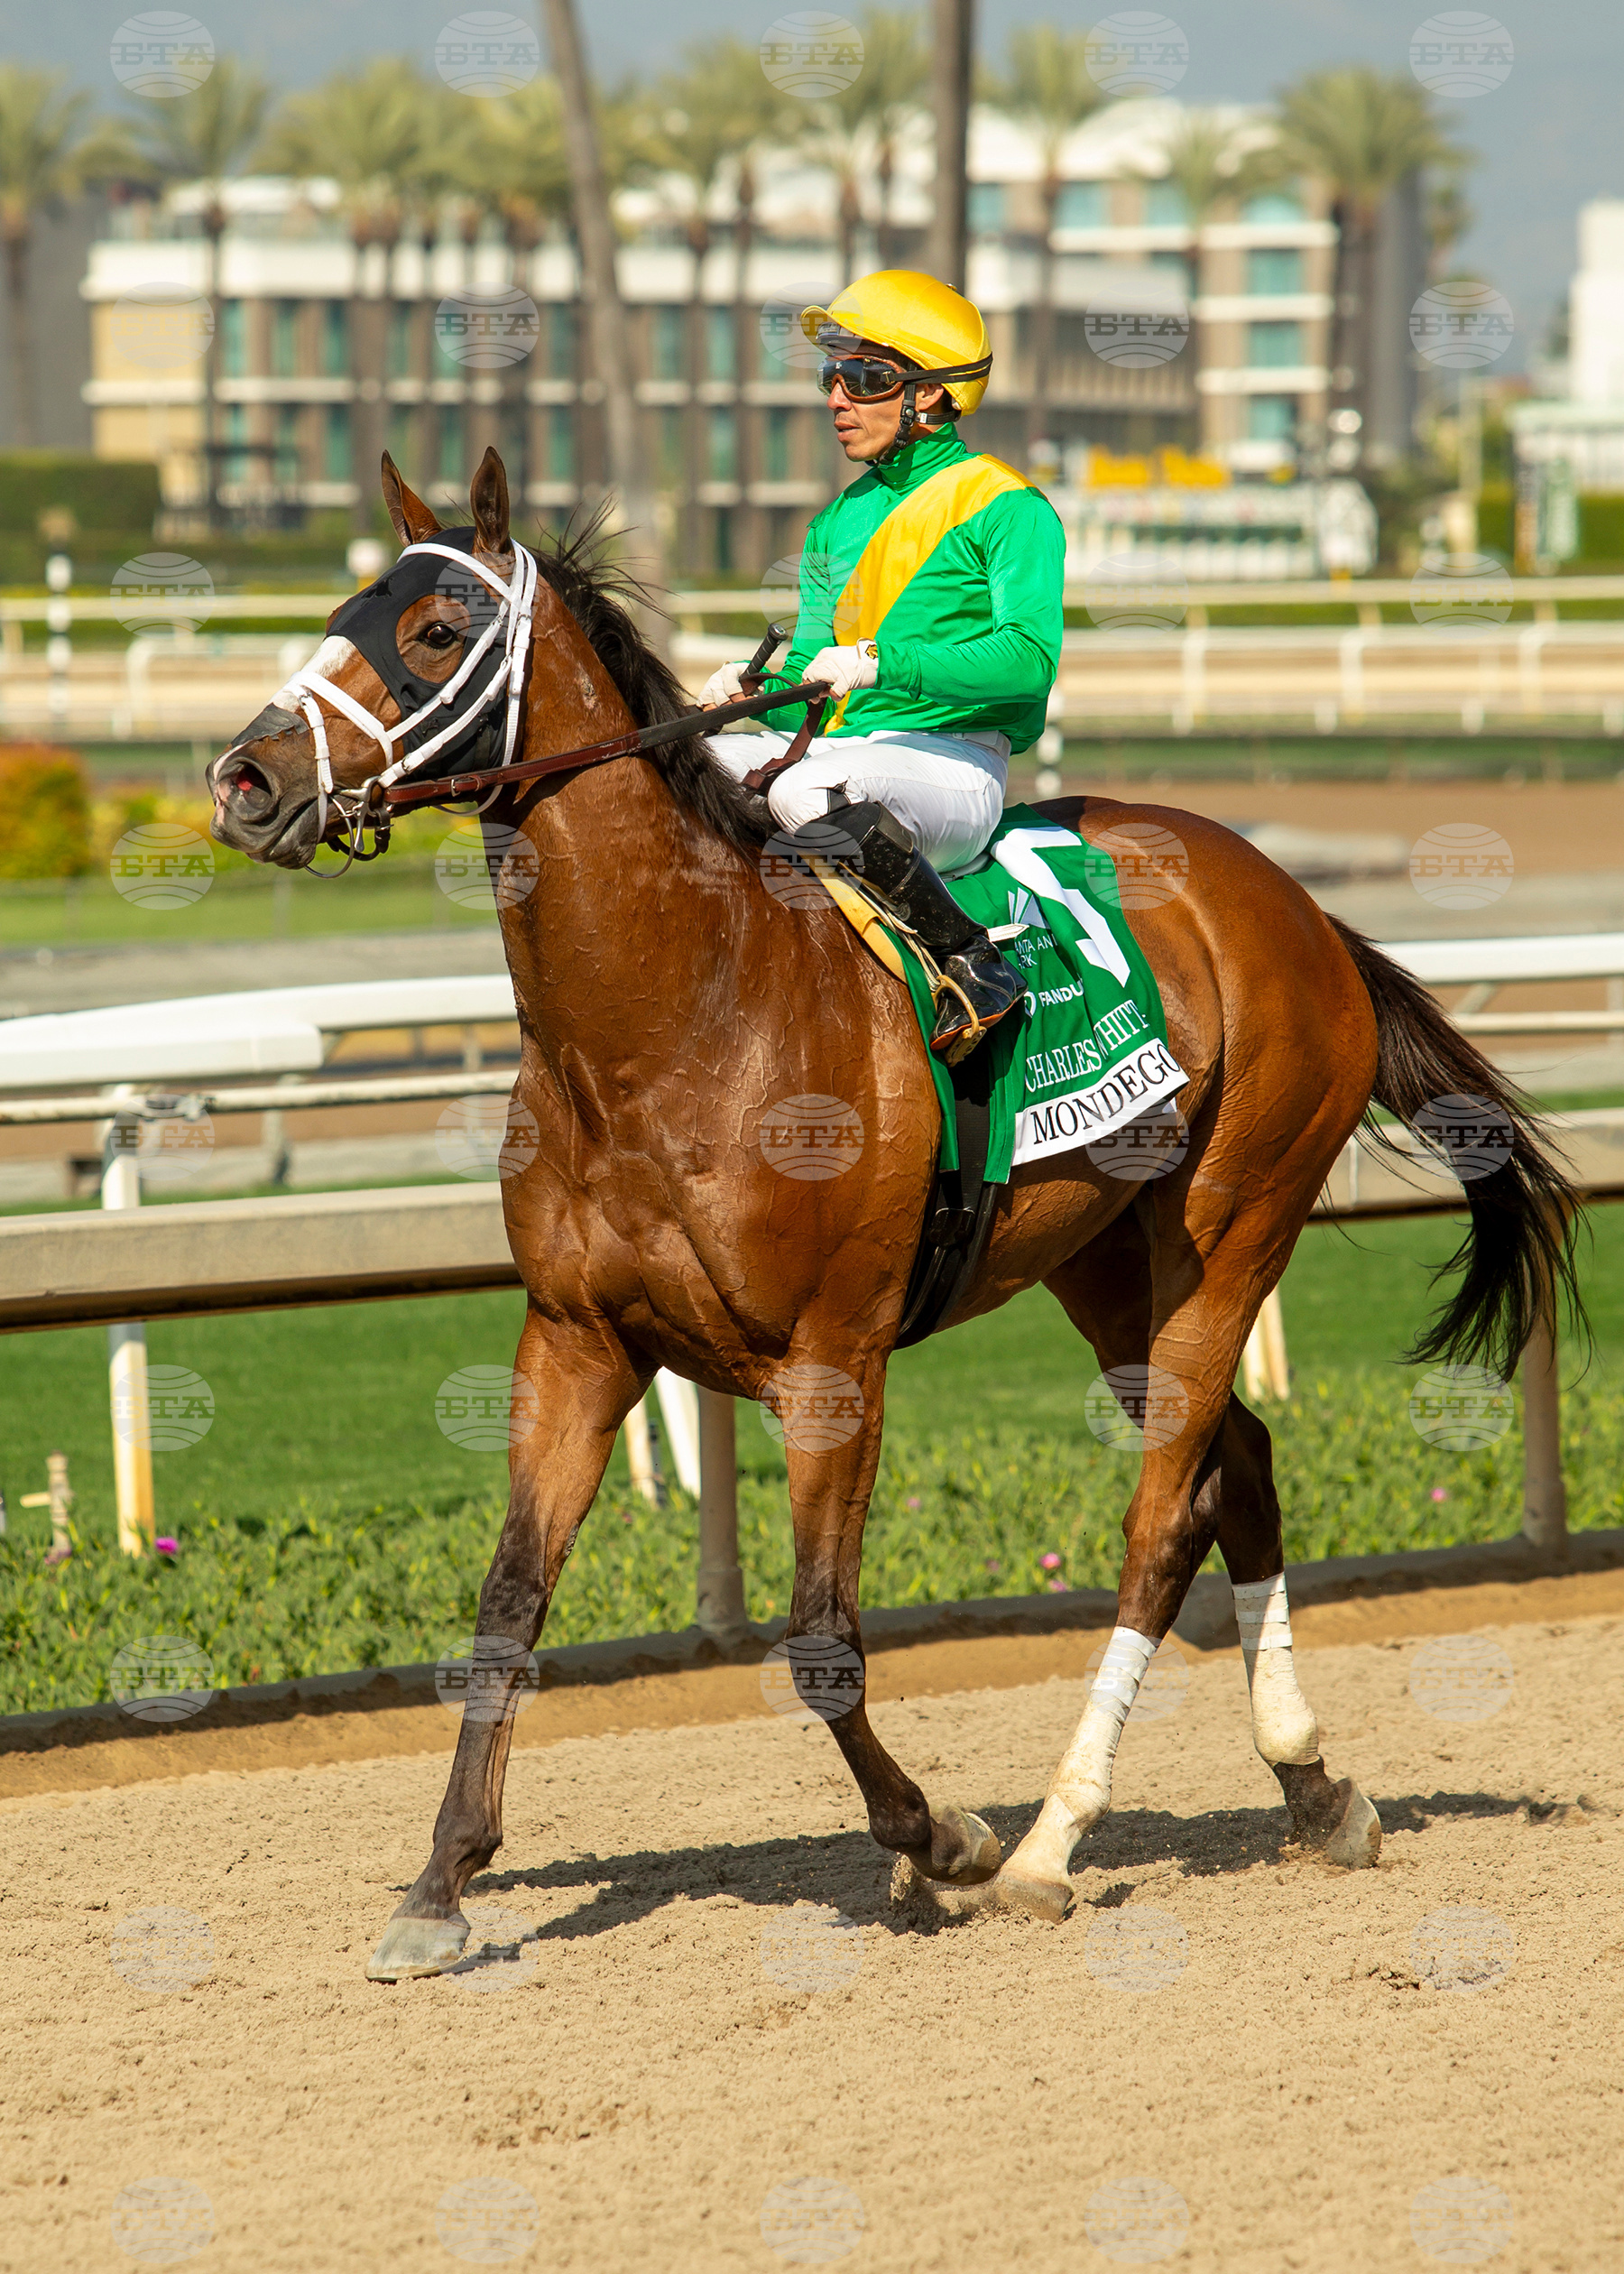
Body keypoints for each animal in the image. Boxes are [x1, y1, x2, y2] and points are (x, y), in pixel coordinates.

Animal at [210, 448, 1581, 1977]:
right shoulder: (573, 1340)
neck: (678, 1017)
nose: (244, 779)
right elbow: (507, 1606)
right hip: (1111, 1265)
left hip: (1236, 1226)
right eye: (343, 610)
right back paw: (1315, 1787)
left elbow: (819, 1640)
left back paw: (1048, 1845)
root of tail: (1297, 905)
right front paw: (441, 1886)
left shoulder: (833, 1360)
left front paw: (944, 1840)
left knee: (1163, 1520)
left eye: (439, 631)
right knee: (1244, 1463)